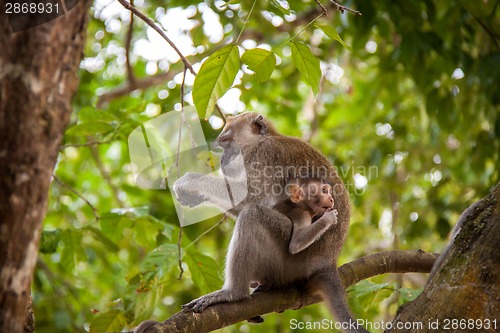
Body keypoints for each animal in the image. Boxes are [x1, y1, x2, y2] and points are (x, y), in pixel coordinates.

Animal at [174, 113, 370, 330]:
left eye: (227, 143)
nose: (223, 161)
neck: (261, 142)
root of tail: (328, 264)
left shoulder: (264, 158)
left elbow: (251, 199)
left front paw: (191, 181)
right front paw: (194, 196)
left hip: (292, 263)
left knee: (253, 215)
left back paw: (233, 293)